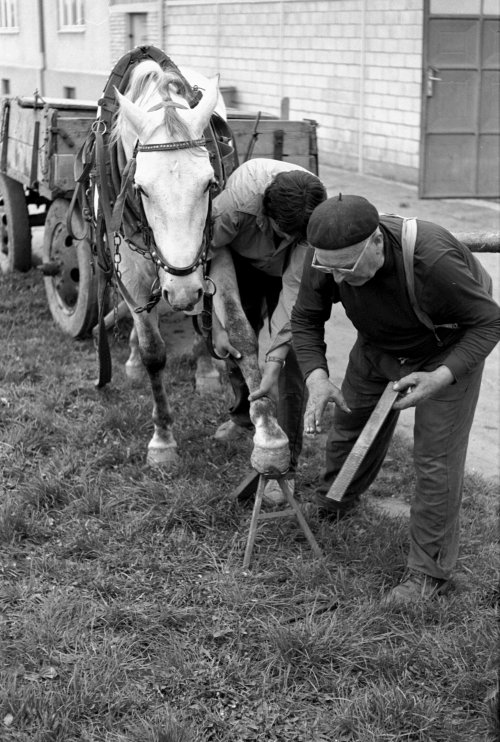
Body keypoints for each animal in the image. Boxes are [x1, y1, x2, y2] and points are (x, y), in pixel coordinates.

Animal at [109, 59, 290, 476]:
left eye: (209, 184)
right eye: (140, 189)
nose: (182, 288)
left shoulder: (214, 252)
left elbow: (240, 332)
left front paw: (268, 435)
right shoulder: (128, 268)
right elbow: (153, 350)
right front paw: (162, 439)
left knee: (202, 319)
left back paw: (206, 369)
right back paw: (132, 359)